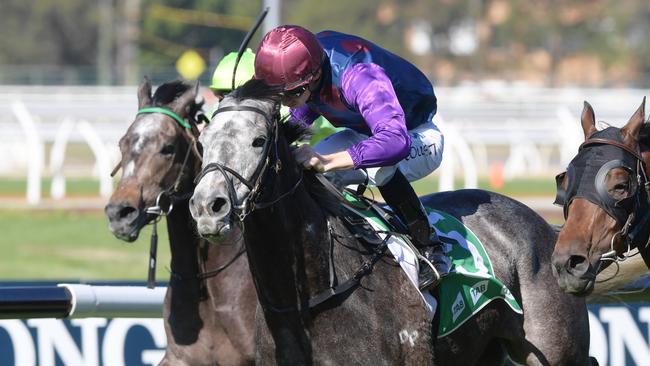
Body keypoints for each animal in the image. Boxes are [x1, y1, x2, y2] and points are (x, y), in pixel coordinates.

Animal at [189, 78, 592, 364]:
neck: (315, 294)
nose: (208, 206)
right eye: (203, 140)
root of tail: (544, 225)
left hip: (556, 352)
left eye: (258, 141)